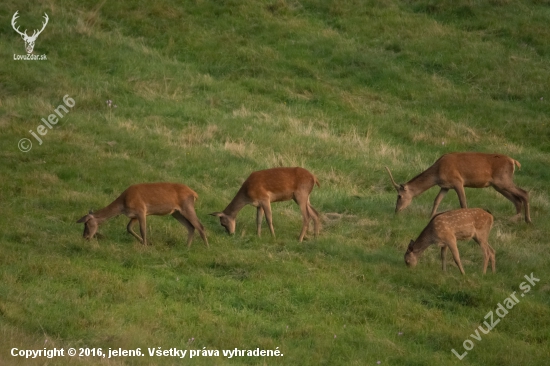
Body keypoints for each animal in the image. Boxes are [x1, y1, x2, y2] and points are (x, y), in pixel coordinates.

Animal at [76, 183, 208, 249]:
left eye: (86, 224)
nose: (85, 237)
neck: (123, 204)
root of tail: (194, 194)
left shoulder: (141, 210)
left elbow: (143, 230)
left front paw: (145, 245)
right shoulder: (134, 214)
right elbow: (129, 228)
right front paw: (146, 243)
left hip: (187, 206)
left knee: (200, 226)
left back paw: (206, 247)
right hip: (176, 212)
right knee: (191, 227)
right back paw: (187, 247)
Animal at [386, 152, 532, 223]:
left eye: (399, 196)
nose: (396, 210)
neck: (437, 173)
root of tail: (514, 161)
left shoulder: (458, 181)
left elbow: (463, 203)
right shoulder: (445, 186)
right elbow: (437, 200)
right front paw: (430, 217)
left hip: (503, 180)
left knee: (524, 193)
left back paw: (527, 220)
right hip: (498, 185)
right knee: (517, 199)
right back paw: (515, 219)